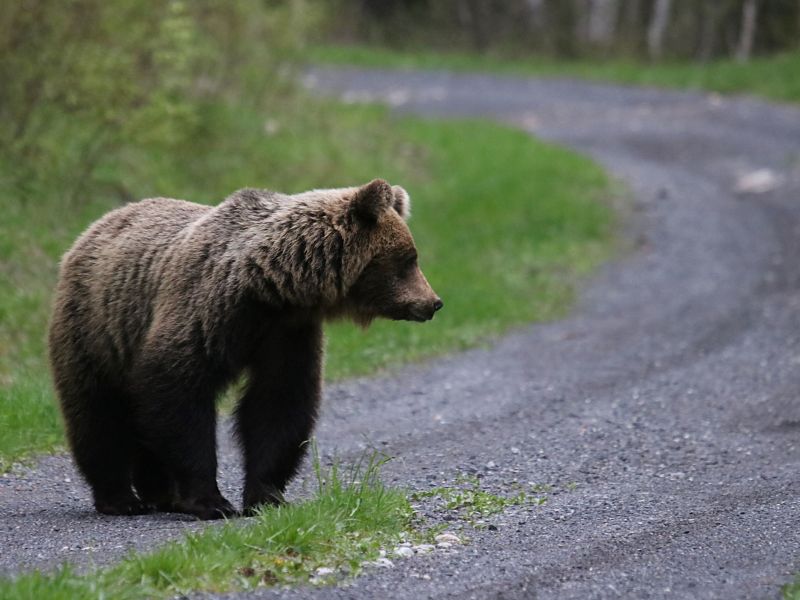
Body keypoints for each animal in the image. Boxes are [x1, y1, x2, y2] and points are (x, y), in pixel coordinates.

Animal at [48, 179, 444, 520]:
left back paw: (159, 494)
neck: (270, 287)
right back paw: (121, 498)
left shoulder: (286, 333)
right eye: (409, 259)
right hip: (96, 331)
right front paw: (210, 501)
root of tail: (94, 228)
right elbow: (178, 394)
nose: (433, 302)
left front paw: (266, 496)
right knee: (98, 414)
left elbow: (278, 404)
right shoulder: (205, 310)